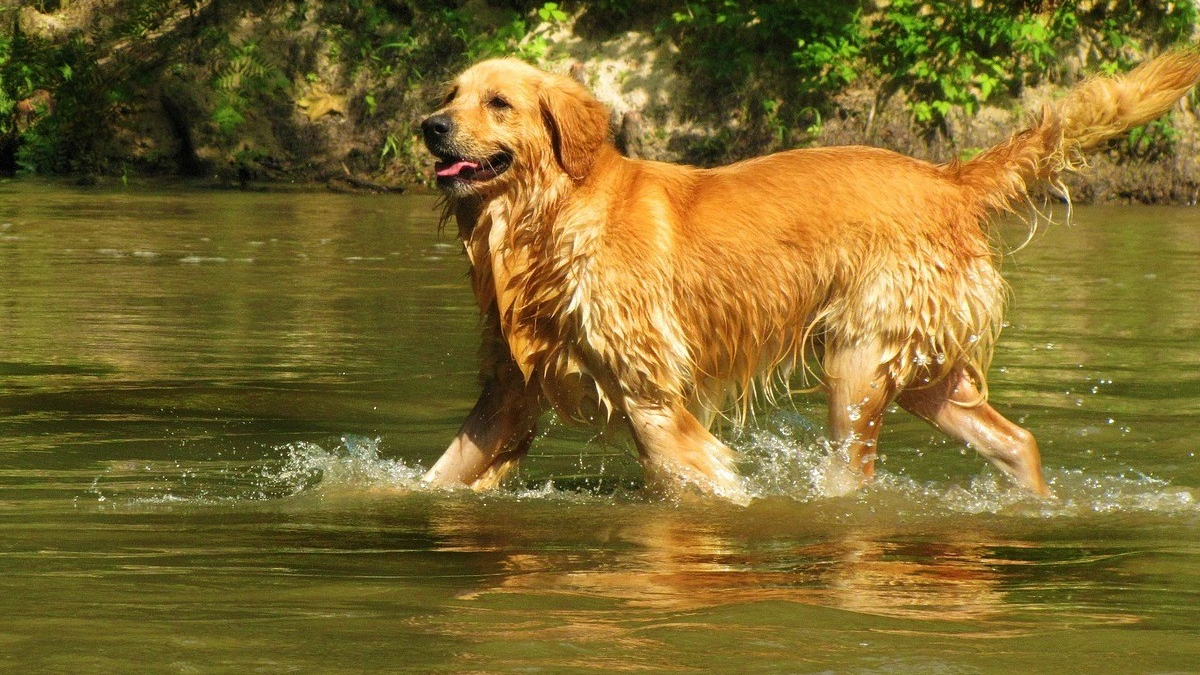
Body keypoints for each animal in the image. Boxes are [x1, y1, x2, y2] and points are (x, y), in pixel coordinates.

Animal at [420, 51, 1200, 499]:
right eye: (451, 93)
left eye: (498, 102)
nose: (429, 126)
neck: (547, 220)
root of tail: (948, 180)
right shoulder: (510, 392)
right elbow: (437, 476)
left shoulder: (651, 398)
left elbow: (703, 479)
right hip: (925, 373)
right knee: (1019, 441)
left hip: (858, 362)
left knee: (855, 478)